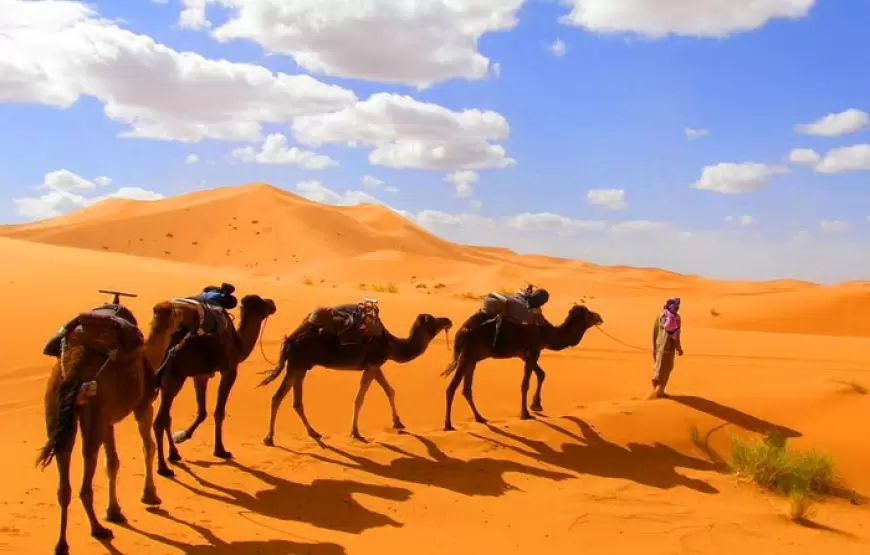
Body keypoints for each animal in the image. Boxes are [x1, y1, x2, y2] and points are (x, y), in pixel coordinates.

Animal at [36, 300, 197, 555]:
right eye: (178, 312)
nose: (190, 314)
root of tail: (73, 370)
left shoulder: (108, 421)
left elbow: (112, 462)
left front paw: (114, 512)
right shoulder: (142, 406)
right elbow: (148, 447)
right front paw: (150, 495)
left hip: (56, 408)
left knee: (64, 477)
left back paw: (62, 544)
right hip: (93, 410)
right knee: (86, 470)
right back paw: (98, 529)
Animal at [153, 296, 276, 478]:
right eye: (263, 303)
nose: (272, 304)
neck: (239, 344)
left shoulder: (200, 376)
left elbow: (202, 411)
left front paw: (183, 435)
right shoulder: (230, 371)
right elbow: (219, 412)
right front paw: (221, 450)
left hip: (165, 382)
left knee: (166, 417)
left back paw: (174, 454)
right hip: (174, 378)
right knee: (159, 421)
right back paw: (163, 468)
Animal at [258, 314, 454, 446]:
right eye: (432, 319)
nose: (448, 320)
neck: (391, 344)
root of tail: (288, 340)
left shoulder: (374, 365)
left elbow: (389, 390)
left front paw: (398, 422)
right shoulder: (373, 364)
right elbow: (360, 398)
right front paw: (356, 432)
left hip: (301, 367)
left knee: (296, 402)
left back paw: (313, 432)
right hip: (296, 365)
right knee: (277, 397)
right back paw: (269, 438)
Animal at [442, 304, 608, 430]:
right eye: (588, 313)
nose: (599, 317)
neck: (545, 333)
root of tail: (460, 332)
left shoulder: (527, 355)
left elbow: (541, 374)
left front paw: (536, 405)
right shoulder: (533, 352)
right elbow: (525, 384)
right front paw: (525, 413)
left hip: (472, 359)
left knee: (466, 389)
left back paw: (480, 418)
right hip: (467, 356)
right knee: (451, 388)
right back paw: (448, 425)